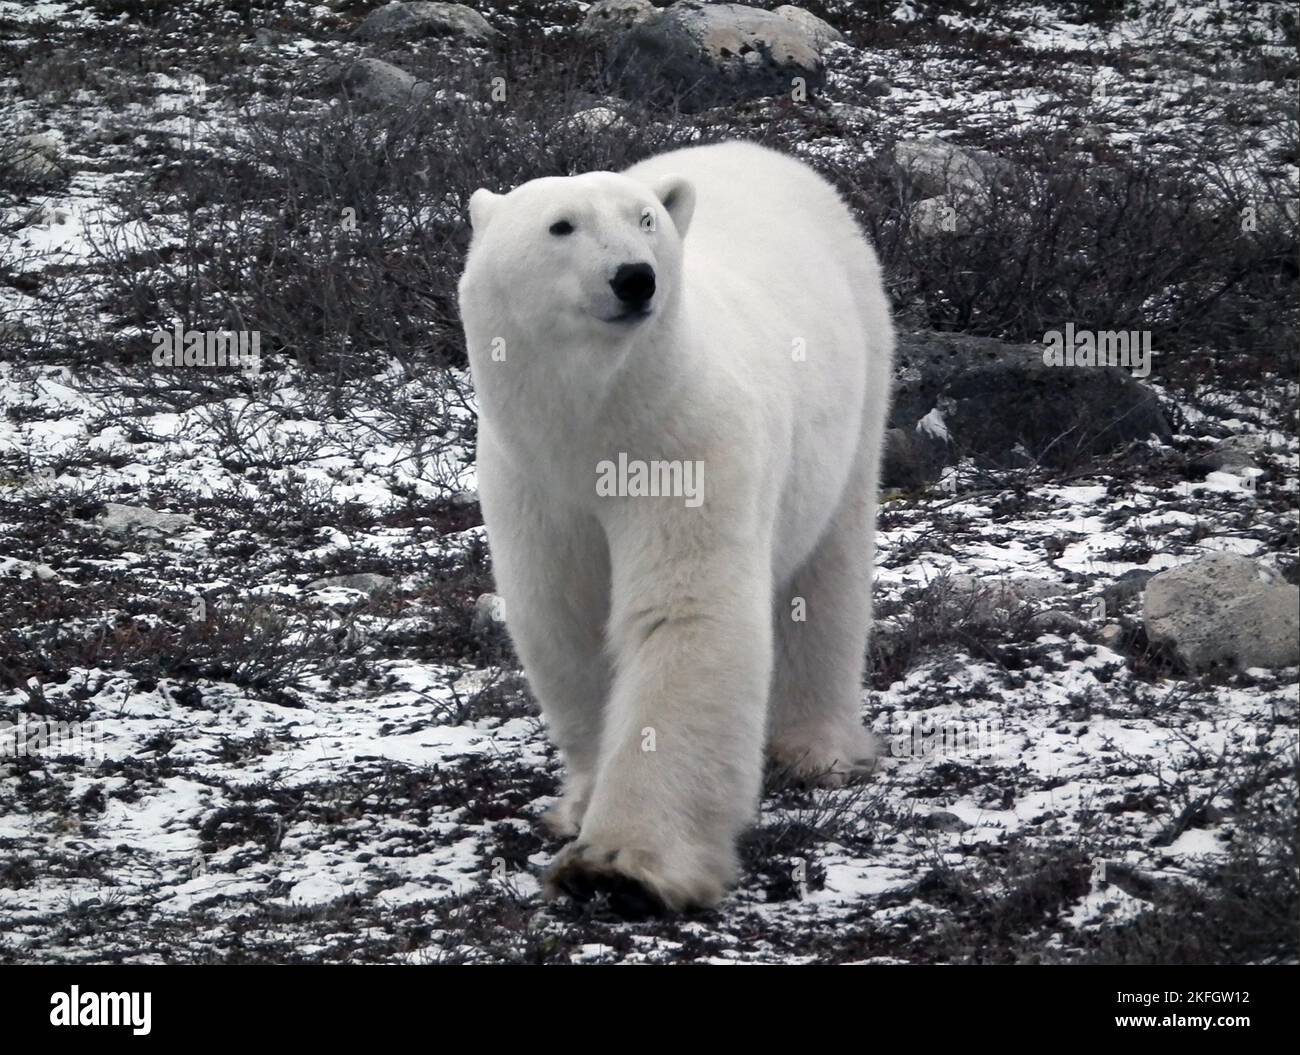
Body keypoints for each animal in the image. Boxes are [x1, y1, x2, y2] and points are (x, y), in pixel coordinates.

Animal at [457, 140, 894, 914]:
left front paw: (620, 867)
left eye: (645, 219)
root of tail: (752, 149)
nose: (635, 277)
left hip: (861, 375)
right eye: (561, 225)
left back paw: (818, 747)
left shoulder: (686, 442)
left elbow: (684, 611)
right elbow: (562, 614)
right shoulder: (530, 478)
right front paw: (580, 803)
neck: (599, 419)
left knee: (828, 573)